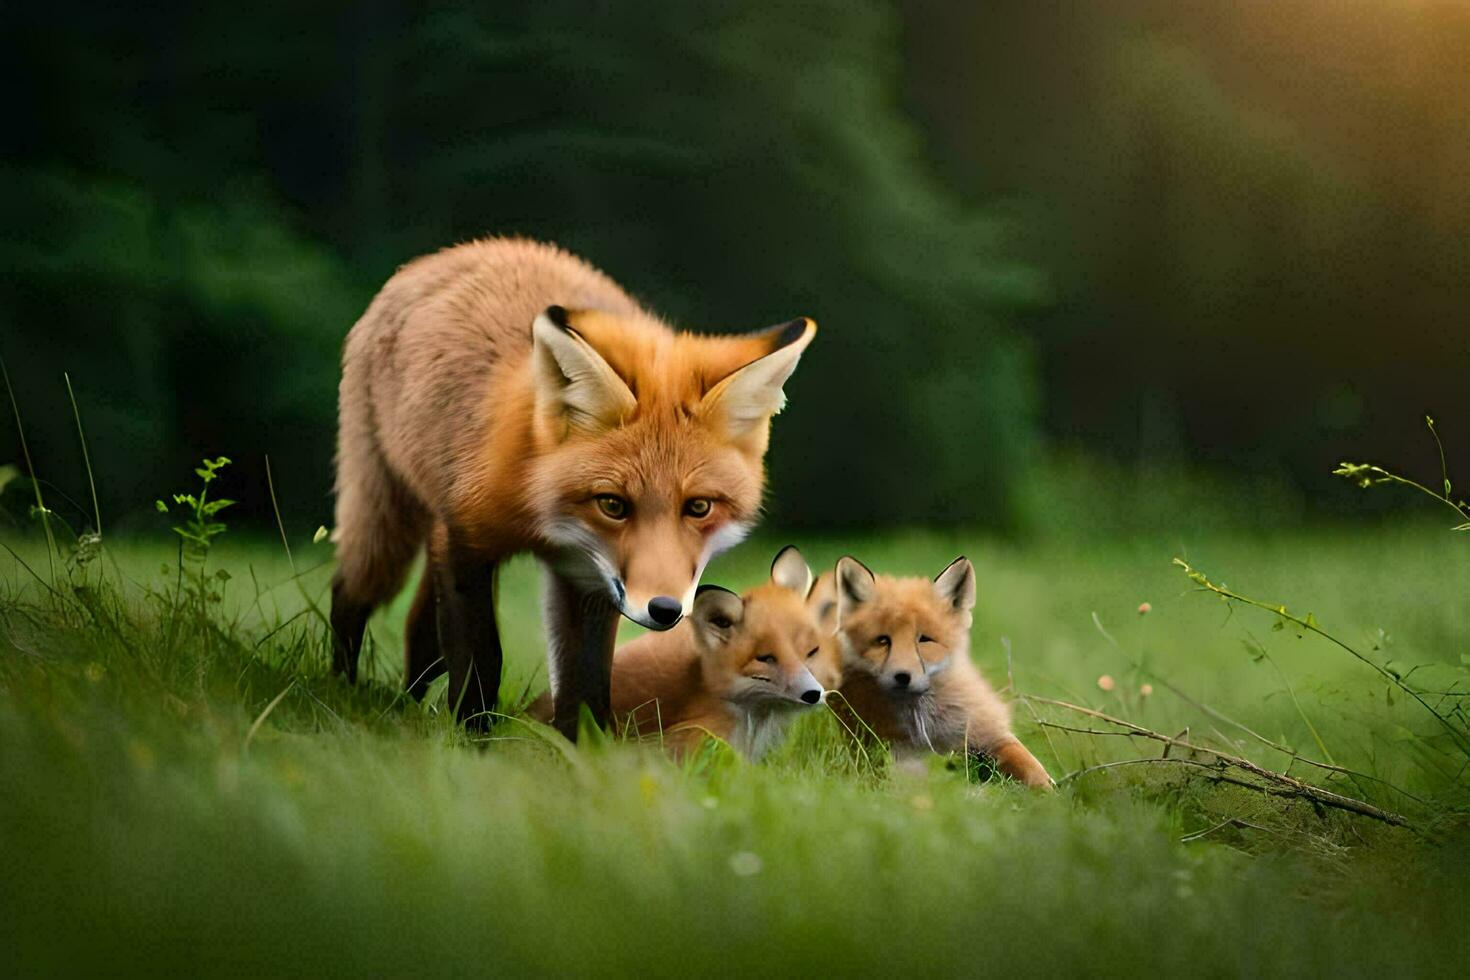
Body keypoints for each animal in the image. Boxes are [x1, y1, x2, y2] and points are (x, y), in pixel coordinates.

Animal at [330, 240, 817, 740]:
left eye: (699, 507)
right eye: (612, 504)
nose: (664, 610)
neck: (542, 513)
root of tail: (459, 251)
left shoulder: (588, 579)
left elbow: (586, 683)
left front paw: (583, 749)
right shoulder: (466, 541)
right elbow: (483, 657)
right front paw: (472, 737)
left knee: (421, 636)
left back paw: (406, 703)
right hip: (385, 527)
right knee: (350, 594)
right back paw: (344, 689)